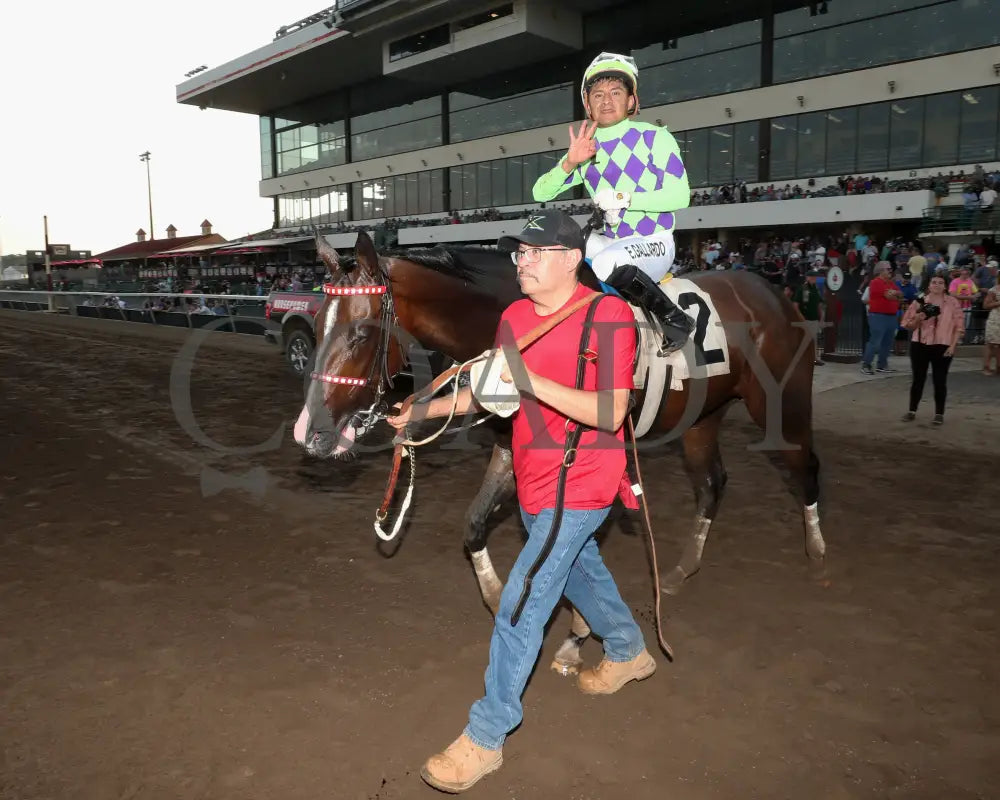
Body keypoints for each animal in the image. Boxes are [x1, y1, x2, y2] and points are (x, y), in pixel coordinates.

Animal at [296, 233, 828, 676]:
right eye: (317, 327)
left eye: (361, 333)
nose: (310, 432)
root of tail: (773, 290)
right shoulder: (510, 443)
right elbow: (475, 525)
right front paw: (503, 601)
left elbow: (574, 542)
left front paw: (575, 635)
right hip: (701, 418)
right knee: (713, 482)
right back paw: (681, 570)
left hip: (781, 404)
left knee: (805, 465)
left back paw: (818, 551)